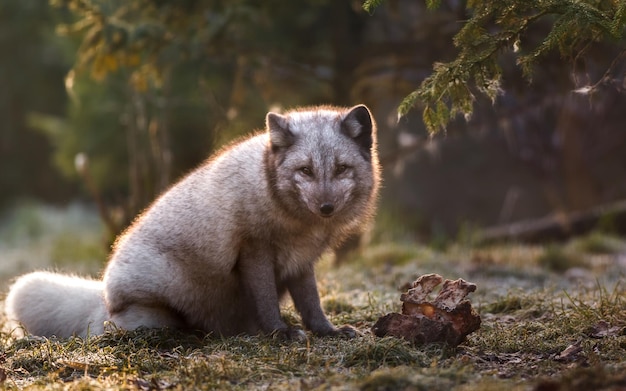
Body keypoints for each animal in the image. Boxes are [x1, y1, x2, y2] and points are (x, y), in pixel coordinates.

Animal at [4, 104, 378, 340]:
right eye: (305, 171)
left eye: (341, 168)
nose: (326, 207)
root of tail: (105, 302)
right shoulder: (254, 251)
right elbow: (267, 300)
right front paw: (279, 333)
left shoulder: (301, 262)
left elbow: (312, 303)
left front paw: (326, 332)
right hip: (161, 306)